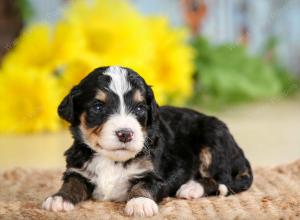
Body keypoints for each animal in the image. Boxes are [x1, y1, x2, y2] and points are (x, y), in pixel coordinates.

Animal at [42, 65, 253, 217]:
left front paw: (139, 203)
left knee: (223, 179)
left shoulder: (159, 172)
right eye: (98, 107)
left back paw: (191, 187)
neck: (112, 160)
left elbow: (144, 185)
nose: (125, 133)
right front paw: (59, 199)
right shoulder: (77, 168)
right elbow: (72, 182)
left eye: (139, 108)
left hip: (213, 139)